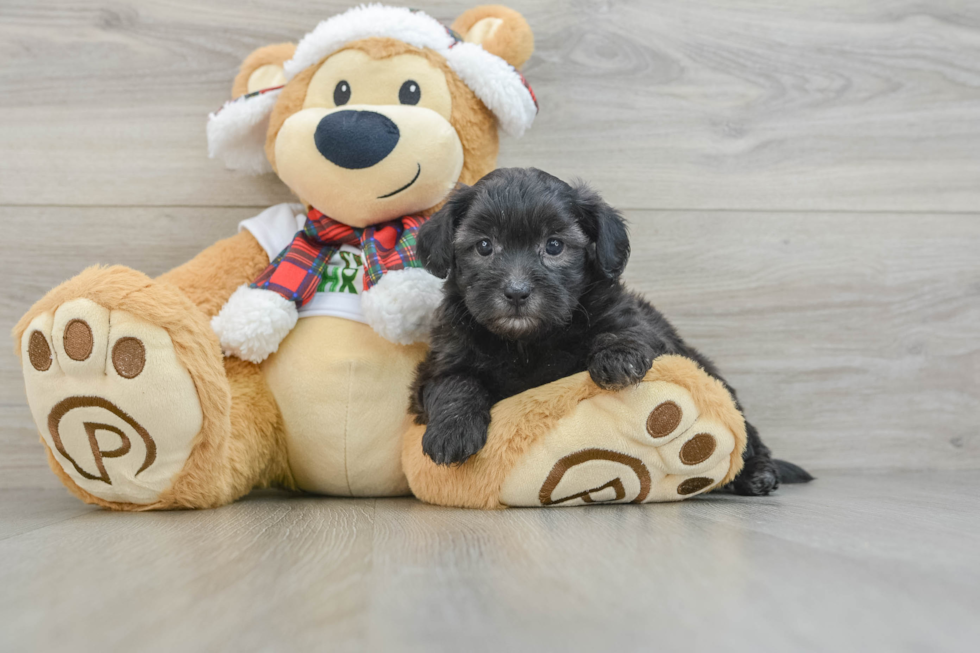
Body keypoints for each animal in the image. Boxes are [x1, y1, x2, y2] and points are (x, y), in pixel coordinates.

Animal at [410, 167, 808, 494]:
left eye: (554, 245)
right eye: (484, 246)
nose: (517, 292)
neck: (527, 341)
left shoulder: (632, 321)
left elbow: (621, 333)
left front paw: (616, 358)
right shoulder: (441, 360)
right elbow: (455, 383)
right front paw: (452, 431)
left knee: (747, 436)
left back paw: (758, 474)